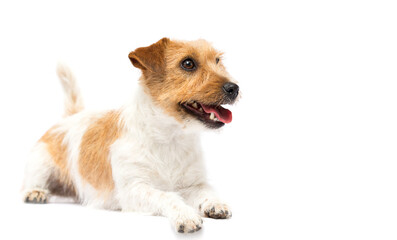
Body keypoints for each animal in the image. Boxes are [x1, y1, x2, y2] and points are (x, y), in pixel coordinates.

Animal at [22, 38, 238, 233]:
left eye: (218, 60)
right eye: (188, 63)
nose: (234, 88)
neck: (170, 138)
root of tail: (71, 116)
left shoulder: (194, 184)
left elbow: (207, 191)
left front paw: (216, 204)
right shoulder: (134, 189)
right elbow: (166, 196)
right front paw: (184, 214)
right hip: (41, 163)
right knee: (31, 181)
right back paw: (35, 192)